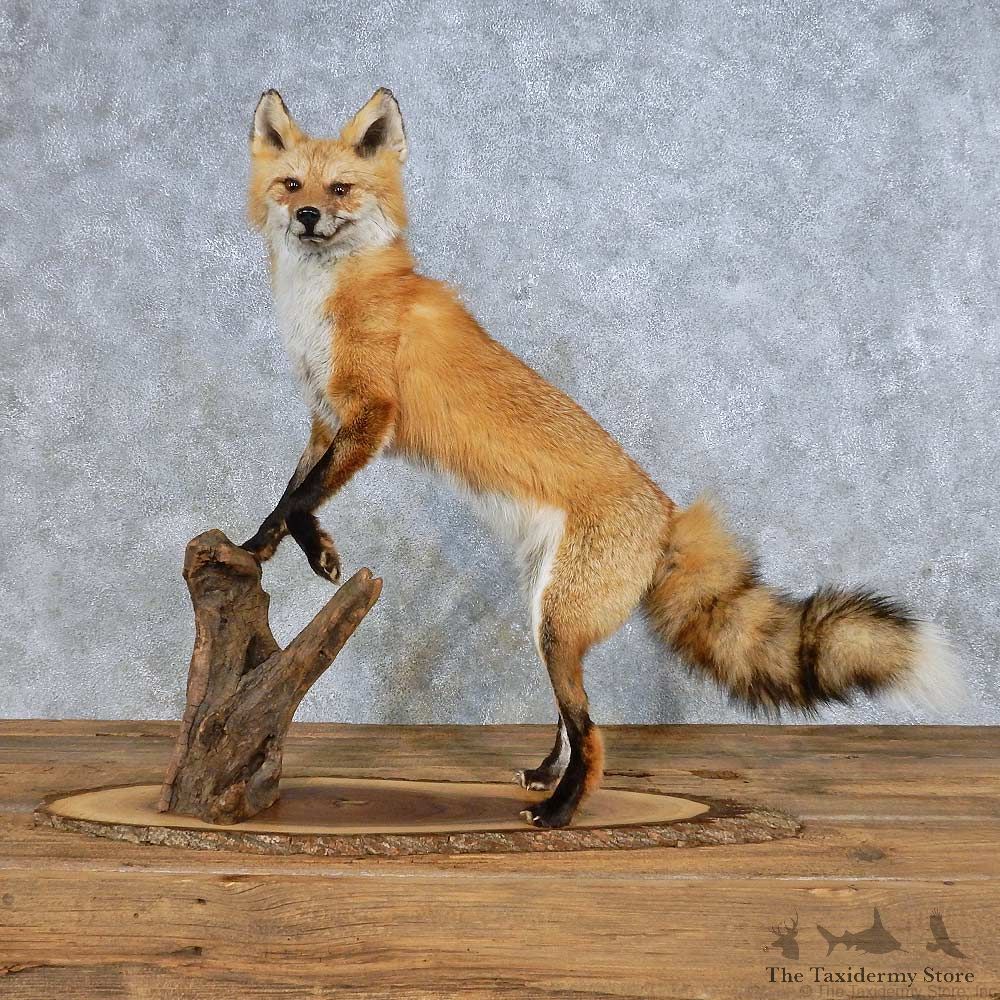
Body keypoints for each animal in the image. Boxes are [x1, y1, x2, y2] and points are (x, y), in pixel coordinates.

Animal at [242, 87, 962, 829]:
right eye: (292, 184)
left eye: (340, 189)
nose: (307, 215)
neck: (330, 299)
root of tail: (668, 514)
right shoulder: (325, 420)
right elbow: (290, 495)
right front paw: (271, 549)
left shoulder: (370, 415)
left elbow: (304, 497)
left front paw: (301, 551)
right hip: (546, 619)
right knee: (569, 717)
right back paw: (544, 775)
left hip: (557, 623)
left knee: (593, 733)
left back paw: (559, 812)